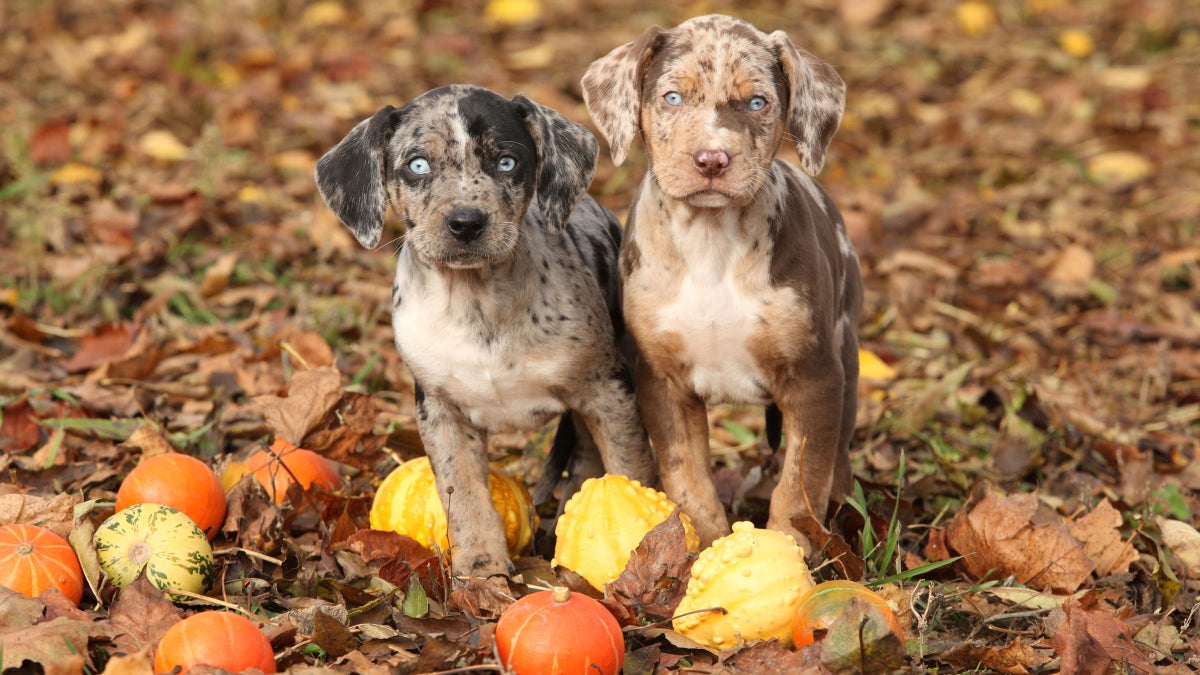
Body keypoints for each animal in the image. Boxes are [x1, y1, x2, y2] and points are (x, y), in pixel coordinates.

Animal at [316, 85, 657, 578]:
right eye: (417, 165)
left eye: (507, 162)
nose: (466, 222)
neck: (475, 303)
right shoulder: (440, 410)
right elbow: (464, 493)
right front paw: (481, 565)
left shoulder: (607, 391)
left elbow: (631, 470)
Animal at [580, 15, 864, 552]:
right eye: (672, 97)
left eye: (757, 102)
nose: (712, 159)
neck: (711, 244)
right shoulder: (661, 382)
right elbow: (685, 475)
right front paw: (698, 544)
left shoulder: (816, 377)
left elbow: (802, 480)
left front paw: (790, 548)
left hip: (848, 355)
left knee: (837, 459)